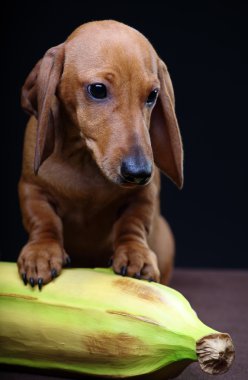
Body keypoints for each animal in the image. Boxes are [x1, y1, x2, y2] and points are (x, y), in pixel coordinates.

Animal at [17, 20, 183, 288]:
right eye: (97, 90)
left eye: (153, 95)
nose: (139, 172)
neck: (86, 160)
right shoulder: (32, 188)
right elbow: (43, 219)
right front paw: (41, 252)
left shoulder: (144, 195)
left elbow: (134, 222)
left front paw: (135, 254)